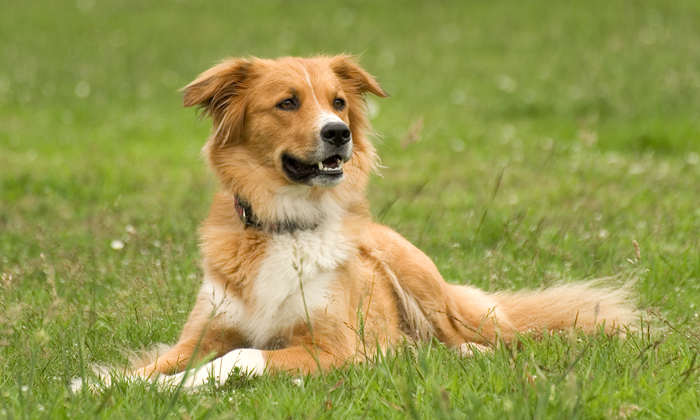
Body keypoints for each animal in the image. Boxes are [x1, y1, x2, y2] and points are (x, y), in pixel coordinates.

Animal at [110, 55, 636, 388]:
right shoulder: (203, 334)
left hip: (417, 277)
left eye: (338, 102)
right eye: (287, 102)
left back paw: (464, 353)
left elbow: (238, 356)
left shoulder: (337, 348)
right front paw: (109, 384)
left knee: (479, 340)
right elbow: (153, 366)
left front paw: (181, 386)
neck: (285, 224)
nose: (338, 133)